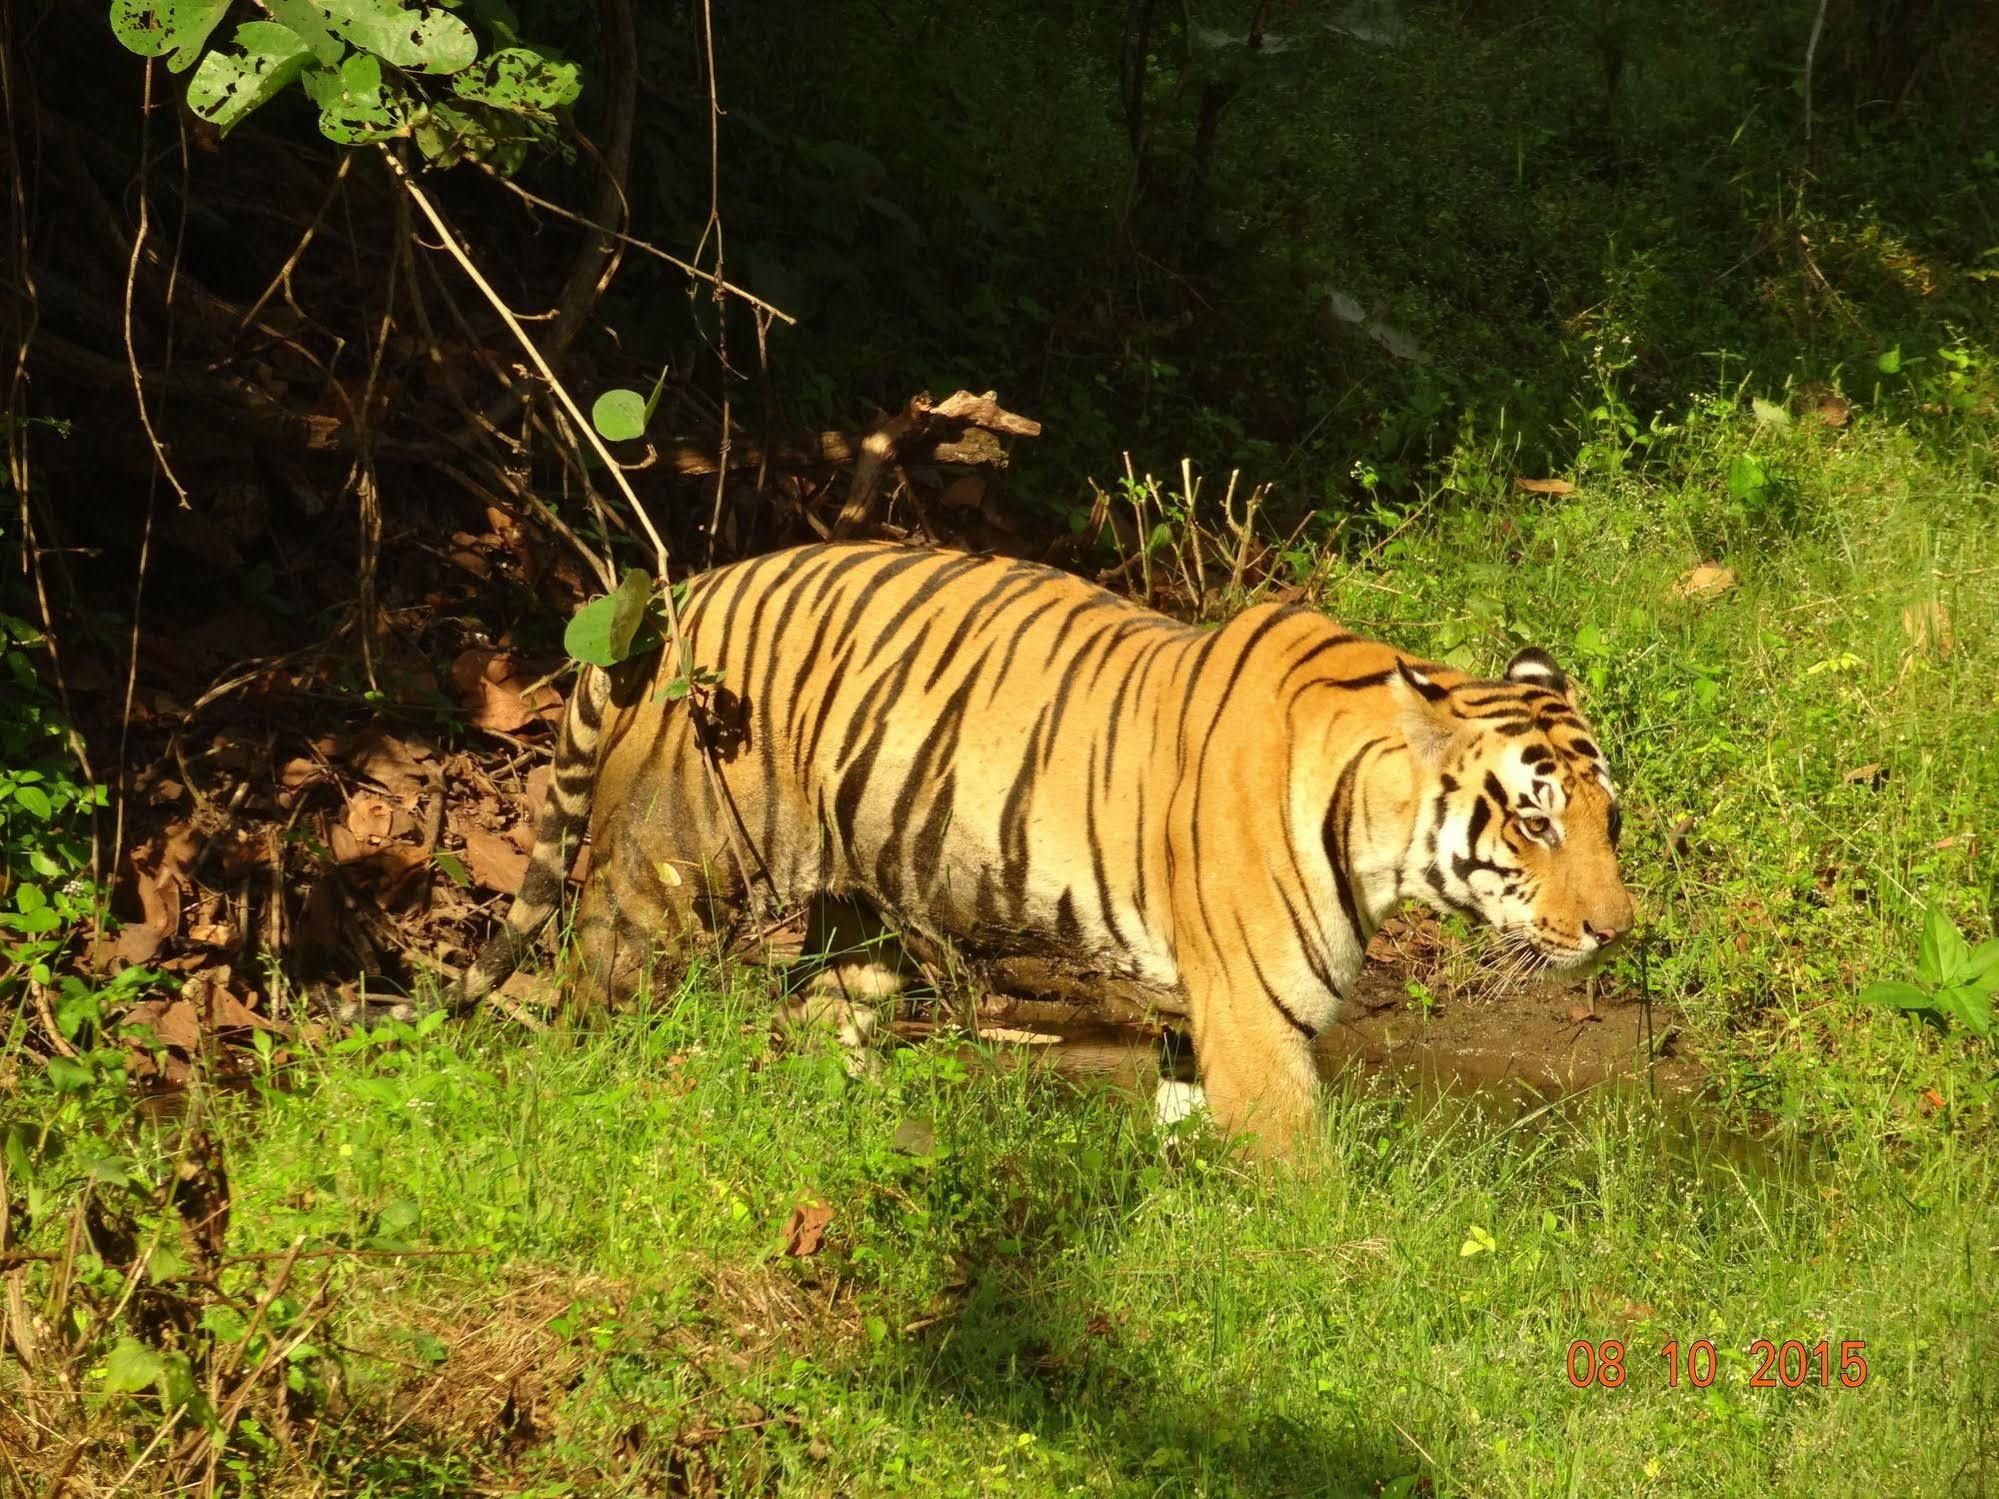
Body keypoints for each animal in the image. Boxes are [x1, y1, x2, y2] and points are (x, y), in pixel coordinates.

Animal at [459, 547, 1631, 1159]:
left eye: (1607, 821)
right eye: (1535, 821)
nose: (1618, 930)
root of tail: (681, 591)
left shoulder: (1202, 1016)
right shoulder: (1259, 1023)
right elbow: (1309, 1194)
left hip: (862, 909)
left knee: (822, 1018)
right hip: (670, 871)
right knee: (591, 993)